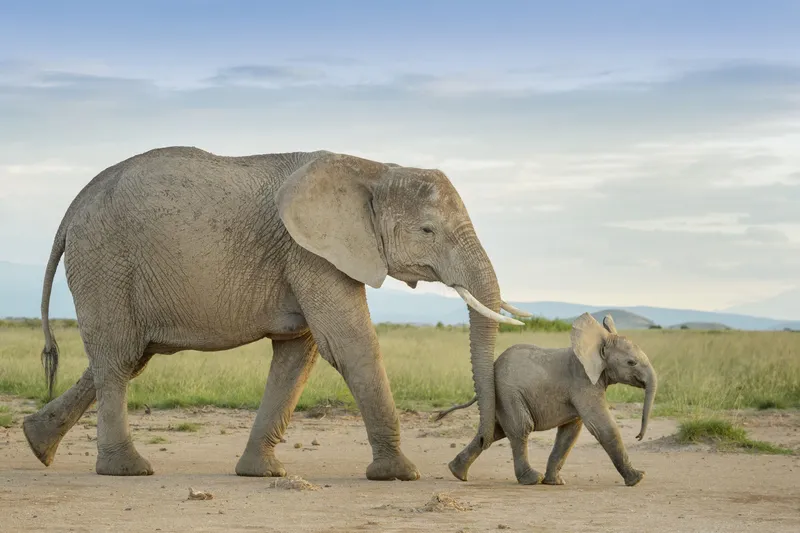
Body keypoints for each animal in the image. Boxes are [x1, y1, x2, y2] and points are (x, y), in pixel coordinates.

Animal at [21, 148, 528, 480]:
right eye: (427, 230)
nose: (460, 467)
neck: (374, 169)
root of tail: (73, 207)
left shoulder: (308, 255)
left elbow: (297, 356)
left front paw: (261, 473)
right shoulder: (311, 253)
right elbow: (349, 345)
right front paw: (400, 475)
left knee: (125, 358)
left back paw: (36, 443)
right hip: (105, 261)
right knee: (119, 360)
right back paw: (126, 470)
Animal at [438, 312, 656, 486]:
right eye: (631, 362)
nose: (638, 436)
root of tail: (493, 367)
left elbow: (570, 433)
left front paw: (556, 482)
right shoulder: (583, 383)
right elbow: (602, 427)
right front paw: (638, 478)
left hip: (501, 396)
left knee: (494, 432)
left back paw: (457, 473)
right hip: (508, 393)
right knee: (521, 427)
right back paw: (532, 479)